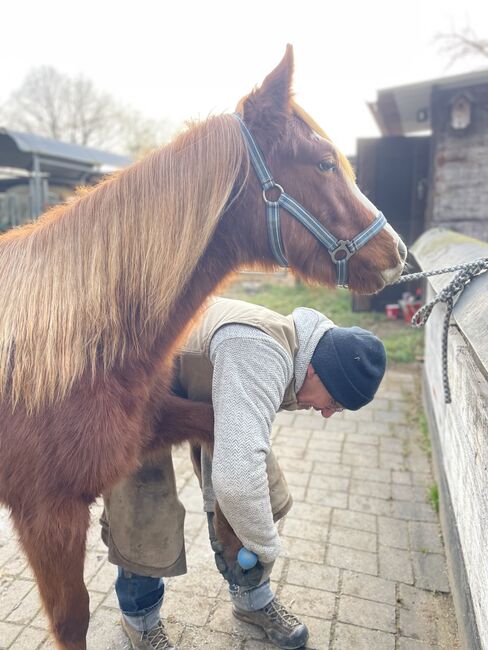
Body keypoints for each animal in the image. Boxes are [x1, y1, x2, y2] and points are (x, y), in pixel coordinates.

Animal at [0, 43, 406, 644]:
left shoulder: (149, 426)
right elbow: (73, 620)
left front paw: (240, 545)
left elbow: (218, 428)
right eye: (324, 163)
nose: (397, 254)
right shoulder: (48, 514)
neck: (63, 344)